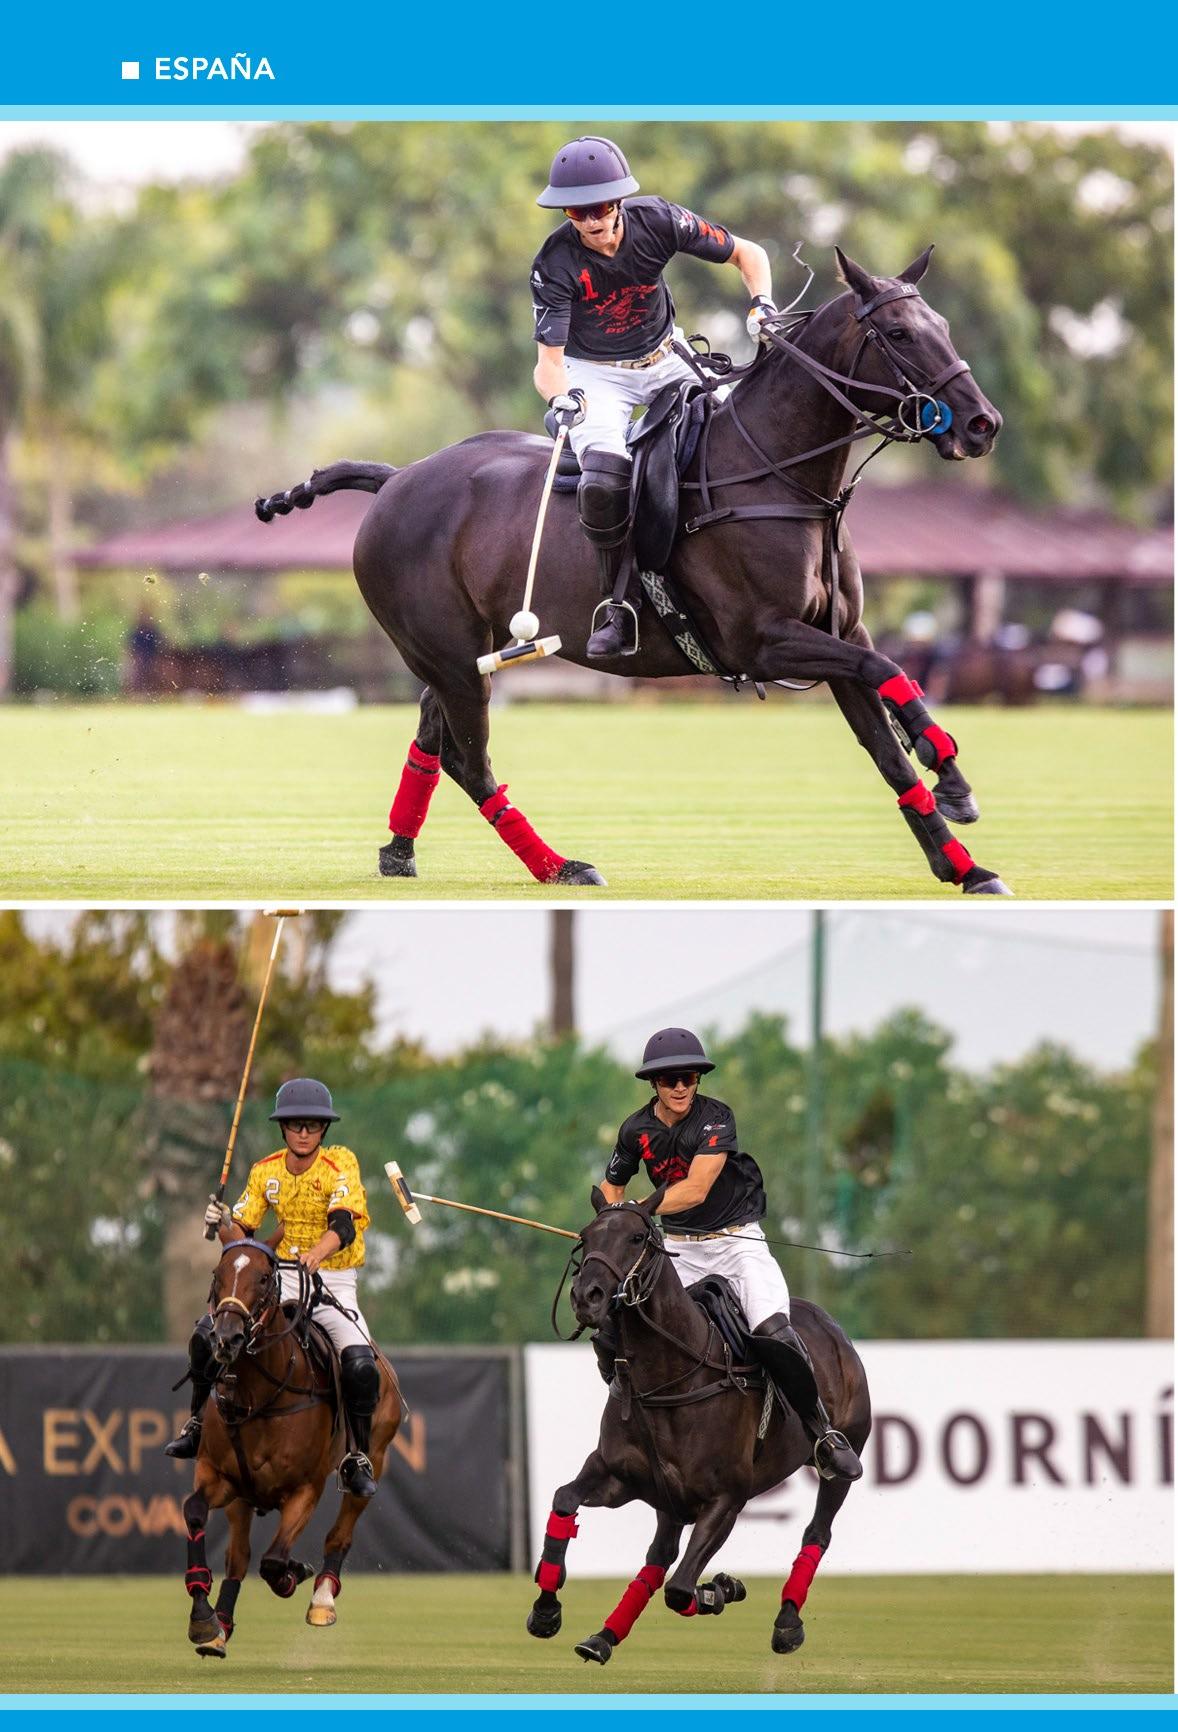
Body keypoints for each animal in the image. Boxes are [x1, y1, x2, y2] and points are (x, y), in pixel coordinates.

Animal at [181, 1238, 402, 1658]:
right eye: (218, 1274)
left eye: (265, 1278)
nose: (227, 1339)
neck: (260, 1395)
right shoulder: (218, 1475)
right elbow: (195, 1514)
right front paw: (203, 1619)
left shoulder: (305, 1489)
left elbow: (273, 1561)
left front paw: (294, 1573)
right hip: (241, 1497)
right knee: (238, 1558)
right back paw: (222, 1625)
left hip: (376, 1455)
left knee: (340, 1532)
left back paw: (322, 1599)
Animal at [256, 244, 1010, 897]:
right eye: (899, 333)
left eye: (942, 326)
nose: (982, 425)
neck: (780, 474)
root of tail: (394, 480)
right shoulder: (762, 639)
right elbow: (889, 672)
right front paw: (949, 773)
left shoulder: (838, 636)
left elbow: (885, 735)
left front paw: (964, 858)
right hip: (446, 654)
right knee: (471, 761)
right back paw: (559, 865)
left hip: (461, 652)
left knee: (430, 738)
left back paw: (399, 851)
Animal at [526, 1188, 871, 1664]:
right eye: (586, 1235)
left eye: (637, 1238)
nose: (586, 1297)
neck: (668, 1376)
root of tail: (828, 1322)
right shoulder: (619, 1477)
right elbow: (563, 1500)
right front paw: (545, 1610)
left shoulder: (726, 1499)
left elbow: (680, 1589)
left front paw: (723, 1588)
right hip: (668, 1500)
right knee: (658, 1556)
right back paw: (604, 1636)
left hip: (843, 1457)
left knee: (817, 1530)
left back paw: (787, 1622)